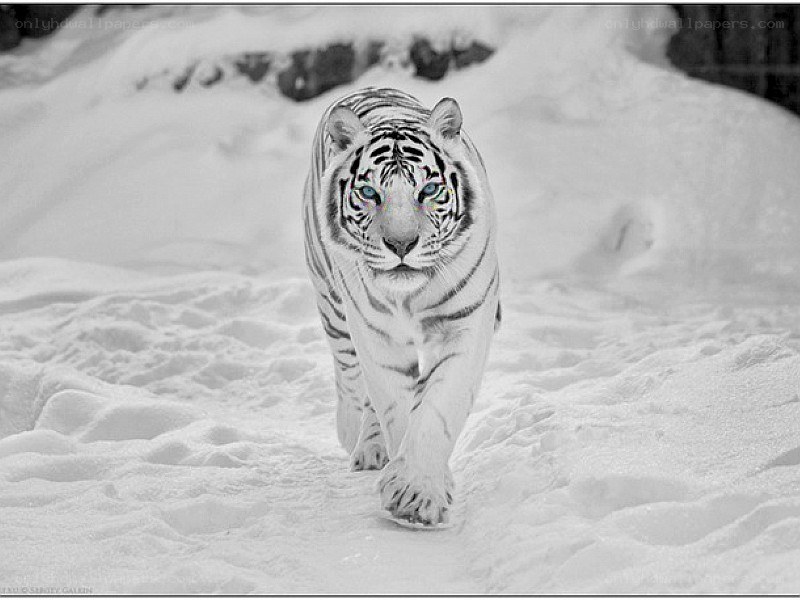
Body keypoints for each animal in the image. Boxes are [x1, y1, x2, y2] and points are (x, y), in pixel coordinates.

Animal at [302, 87, 500, 526]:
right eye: (369, 193)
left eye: (428, 191)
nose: (401, 244)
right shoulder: (377, 335)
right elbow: (394, 402)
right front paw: (413, 488)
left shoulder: (464, 324)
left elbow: (438, 406)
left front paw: (418, 493)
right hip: (333, 305)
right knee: (351, 377)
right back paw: (360, 440)